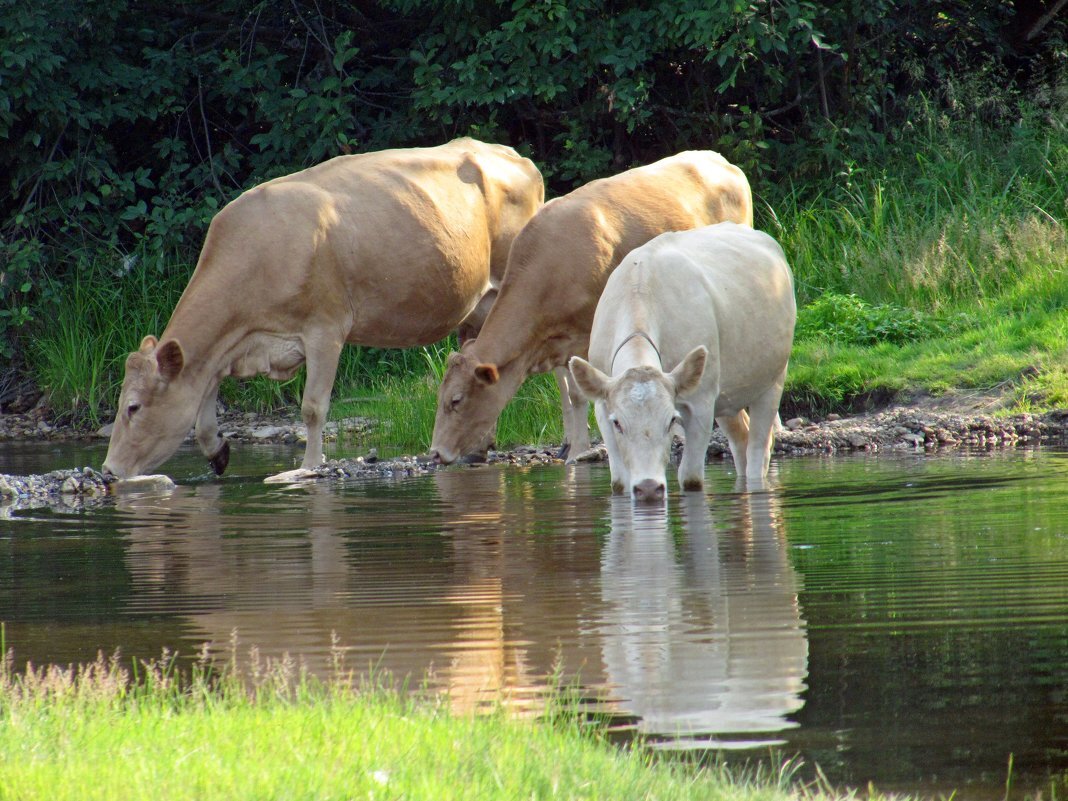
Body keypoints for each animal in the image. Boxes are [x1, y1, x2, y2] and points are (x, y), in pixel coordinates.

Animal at [101, 137, 542, 482]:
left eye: (133, 407)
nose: (107, 471)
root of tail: (511, 154)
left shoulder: (324, 329)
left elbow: (313, 408)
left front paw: (310, 465)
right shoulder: (232, 345)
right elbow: (203, 408)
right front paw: (218, 452)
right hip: (473, 310)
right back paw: (478, 446)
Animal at [429, 150, 756, 467]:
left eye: (456, 400)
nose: (435, 453)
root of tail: (719, 161)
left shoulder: (591, 336)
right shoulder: (560, 341)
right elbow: (574, 393)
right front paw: (577, 450)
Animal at [568, 221, 794, 501]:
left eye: (671, 420)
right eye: (618, 423)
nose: (649, 487)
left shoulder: (701, 401)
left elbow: (691, 478)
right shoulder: (602, 407)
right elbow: (619, 482)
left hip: (773, 379)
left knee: (758, 450)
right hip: (727, 393)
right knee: (741, 439)